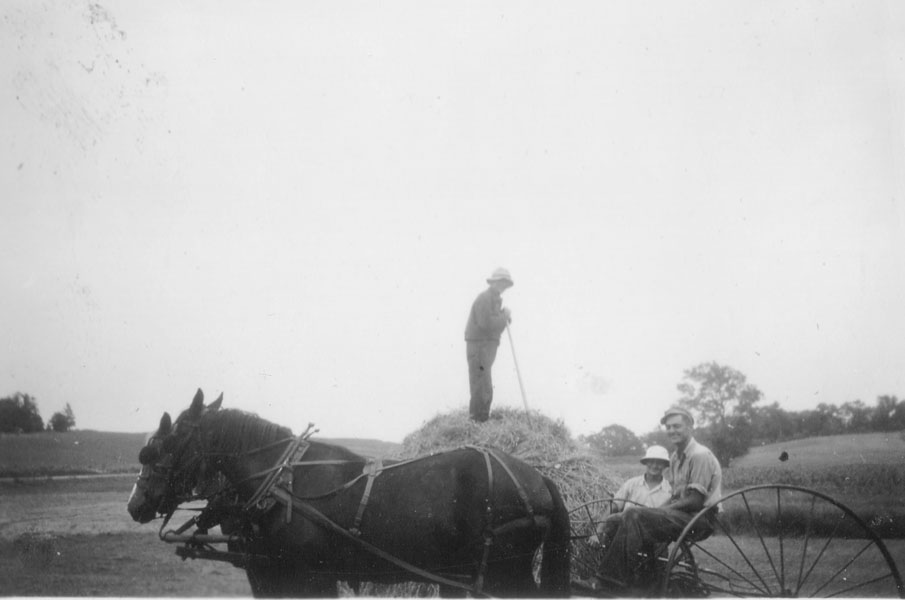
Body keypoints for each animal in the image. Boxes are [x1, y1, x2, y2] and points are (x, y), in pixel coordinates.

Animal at [127, 390, 568, 596]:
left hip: (504, 572)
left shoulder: (303, 576)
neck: (280, 484)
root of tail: (538, 478)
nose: (135, 504)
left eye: (163, 444)